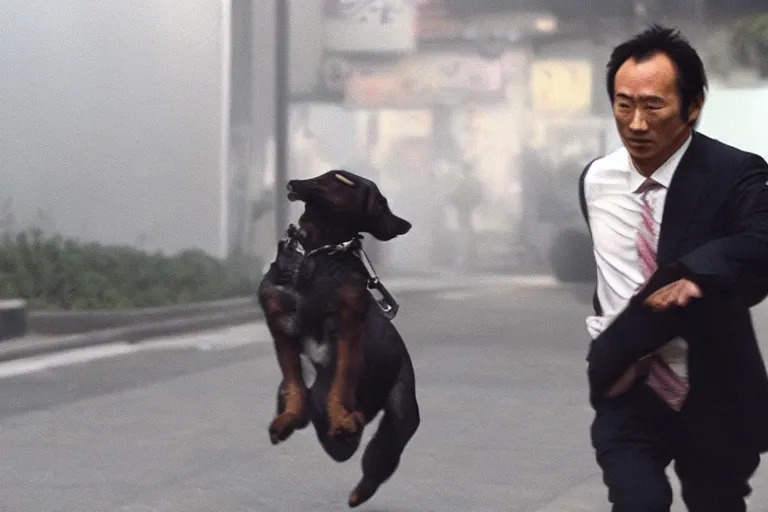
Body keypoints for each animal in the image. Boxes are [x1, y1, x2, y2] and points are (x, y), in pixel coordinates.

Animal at [260, 170, 424, 506]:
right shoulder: (280, 327)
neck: (316, 253)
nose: (405, 225)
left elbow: (341, 382)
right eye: (381, 203)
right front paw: (289, 417)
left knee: (379, 455)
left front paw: (342, 419)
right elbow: (294, 383)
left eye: (342, 181)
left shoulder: (349, 328)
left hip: (401, 414)